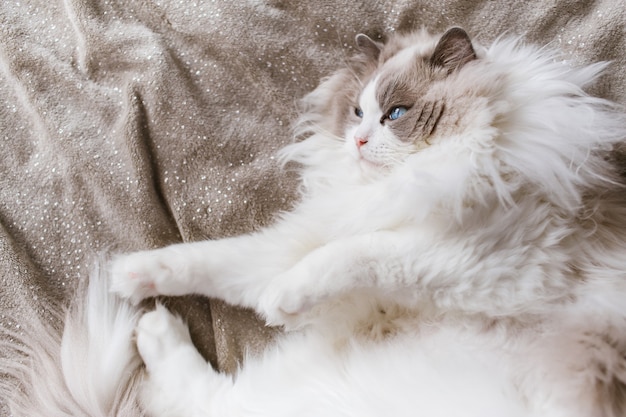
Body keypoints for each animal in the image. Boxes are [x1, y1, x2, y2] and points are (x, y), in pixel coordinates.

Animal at [3, 27, 624, 416]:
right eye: (357, 112)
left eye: (395, 114)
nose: (358, 140)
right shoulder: (303, 238)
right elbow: (204, 260)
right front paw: (128, 274)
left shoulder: (489, 263)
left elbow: (354, 257)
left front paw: (281, 302)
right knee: (208, 398)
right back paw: (151, 327)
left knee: (217, 400)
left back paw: (154, 330)